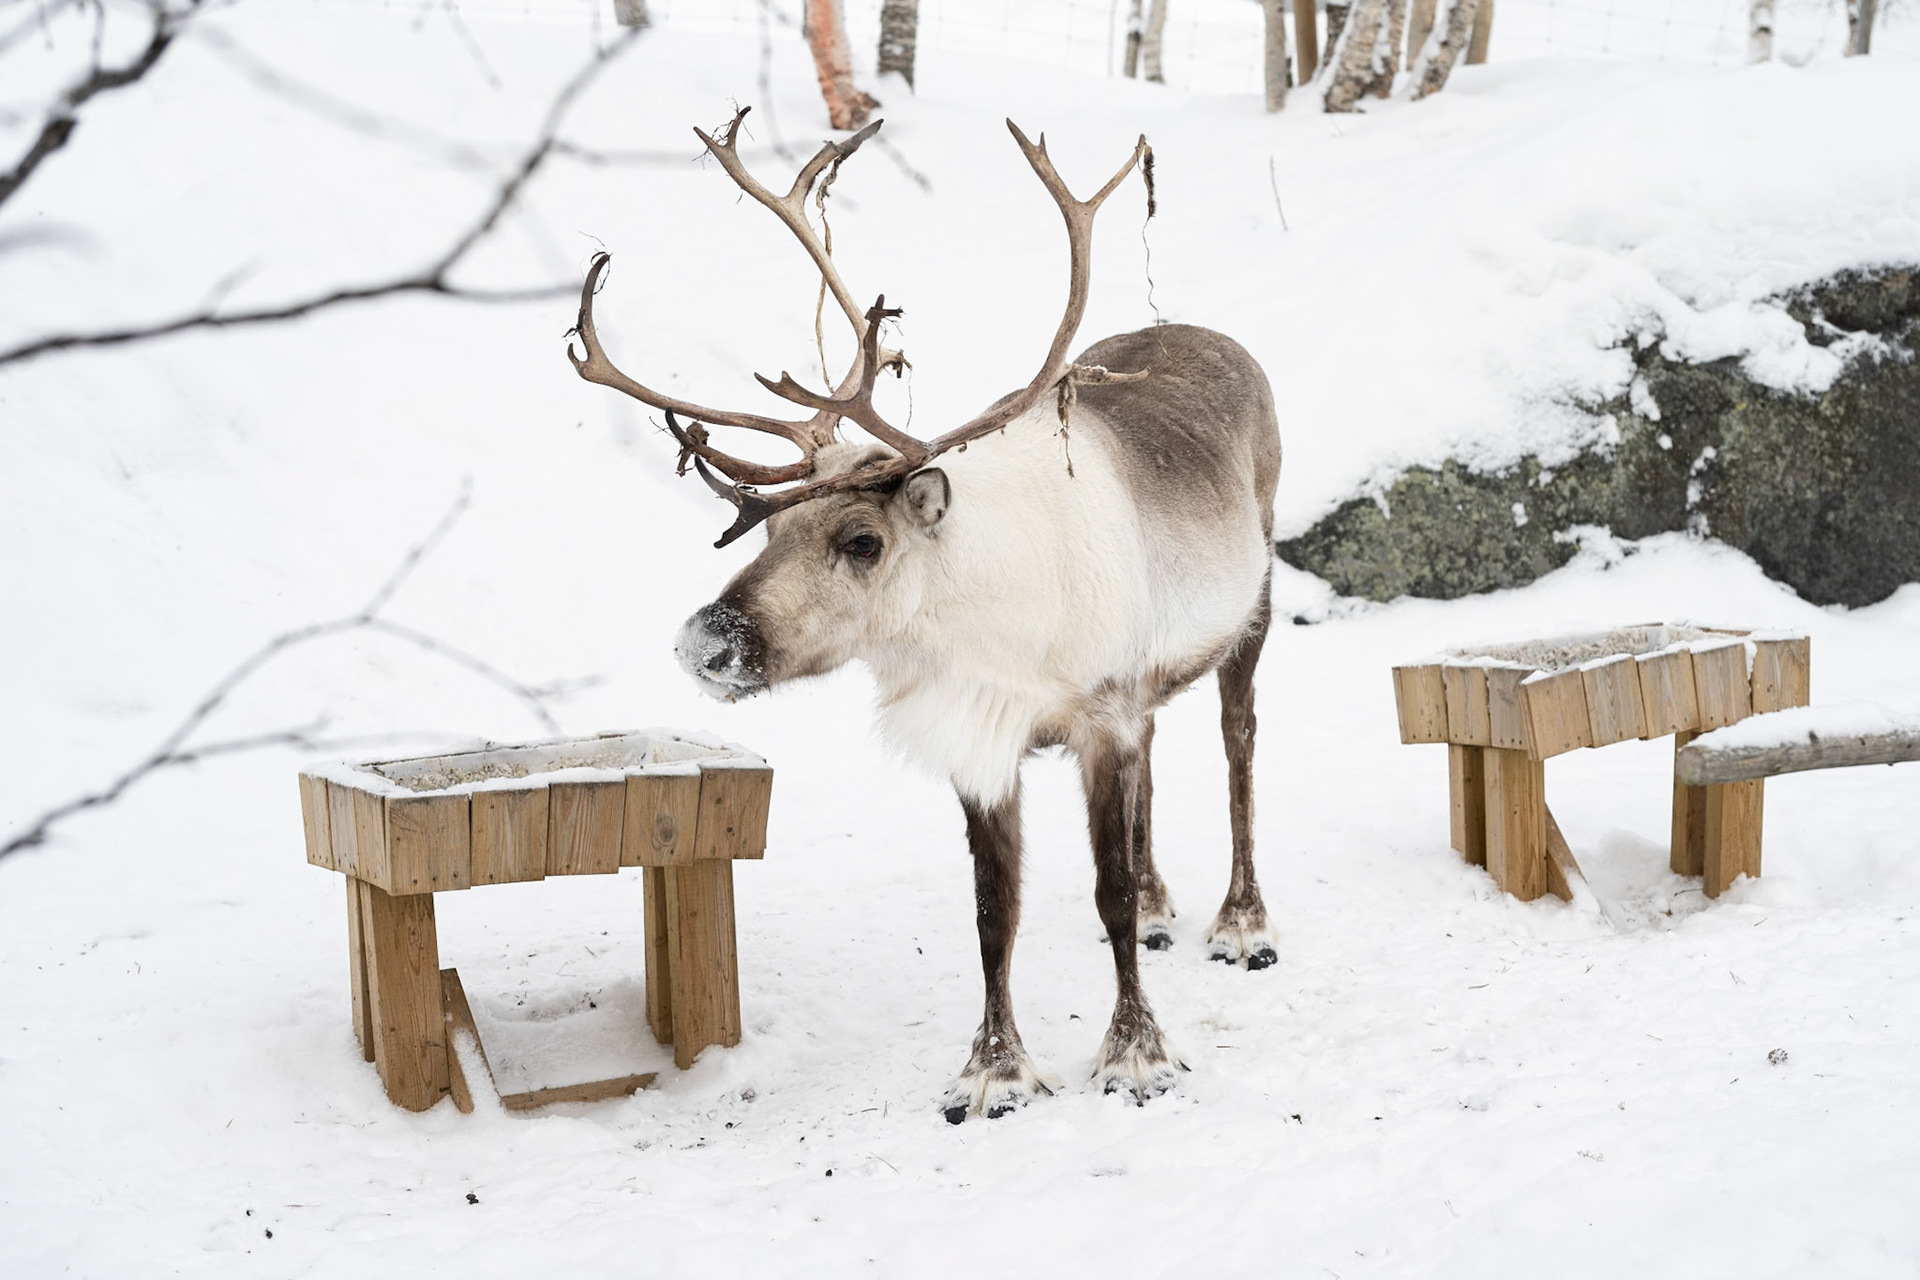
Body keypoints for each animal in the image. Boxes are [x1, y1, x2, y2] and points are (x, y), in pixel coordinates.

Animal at [568, 109, 1280, 1122]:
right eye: (771, 525)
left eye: (862, 540)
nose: (705, 642)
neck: (980, 629)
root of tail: (1215, 336)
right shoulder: (984, 743)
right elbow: (992, 910)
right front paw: (994, 1069)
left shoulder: (1103, 716)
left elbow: (1101, 893)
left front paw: (1135, 1054)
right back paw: (1159, 902)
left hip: (1256, 598)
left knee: (1238, 744)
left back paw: (1242, 922)